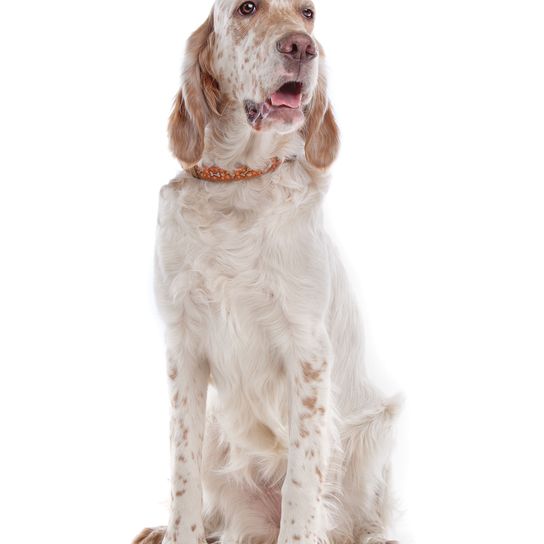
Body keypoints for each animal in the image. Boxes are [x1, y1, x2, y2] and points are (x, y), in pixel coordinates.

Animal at [134, 1, 402, 544]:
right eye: (247, 8)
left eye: (309, 13)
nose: (301, 46)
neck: (240, 180)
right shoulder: (183, 346)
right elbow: (181, 473)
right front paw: (178, 531)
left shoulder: (308, 353)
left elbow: (302, 483)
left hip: (376, 429)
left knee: (363, 522)